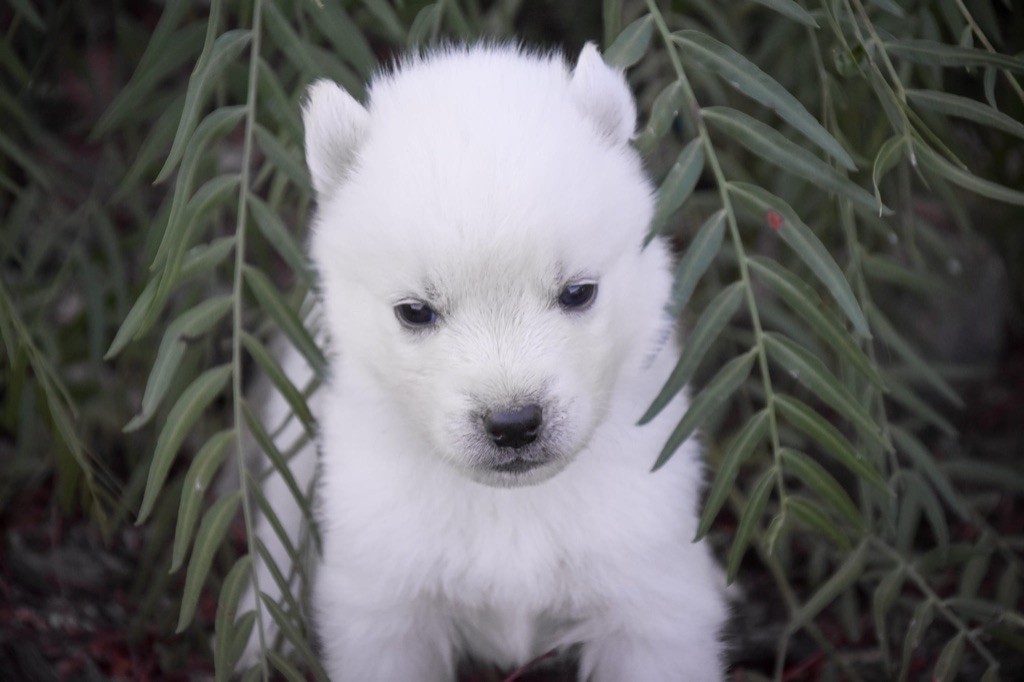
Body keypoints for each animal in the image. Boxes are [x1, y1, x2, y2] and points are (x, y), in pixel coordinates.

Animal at [247, 43, 729, 679]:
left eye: (578, 293)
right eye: (415, 312)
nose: (514, 424)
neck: (509, 505)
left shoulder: (651, 601)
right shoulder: (385, 610)